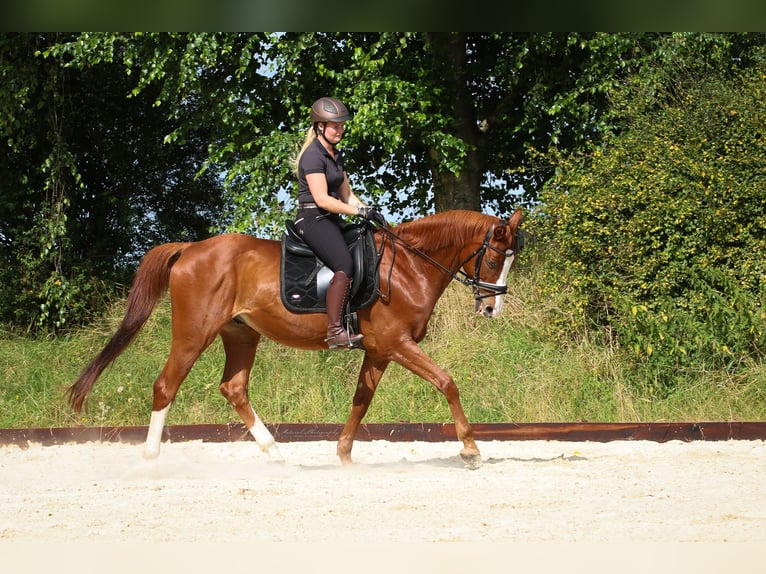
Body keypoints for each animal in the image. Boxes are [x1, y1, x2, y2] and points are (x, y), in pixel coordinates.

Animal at [69, 209, 524, 470]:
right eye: (495, 257)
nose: (491, 309)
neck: (408, 266)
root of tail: (191, 248)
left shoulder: (380, 351)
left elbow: (361, 400)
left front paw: (343, 454)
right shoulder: (398, 344)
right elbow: (447, 382)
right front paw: (470, 449)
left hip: (241, 335)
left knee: (233, 388)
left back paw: (274, 452)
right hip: (194, 333)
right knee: (166, 386)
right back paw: (150, 458)